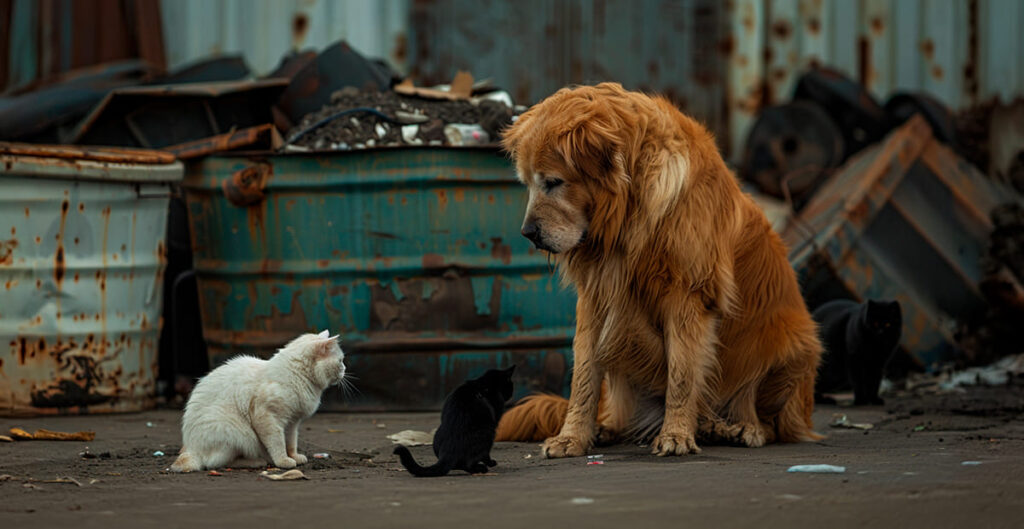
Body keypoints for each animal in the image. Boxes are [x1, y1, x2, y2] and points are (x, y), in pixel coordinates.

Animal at [167, 327, 344, 472]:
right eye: (341, 361)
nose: (345, 369)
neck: (298, 374)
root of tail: (191, 449)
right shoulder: (266, 417)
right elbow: (277, 443)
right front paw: (283, 461)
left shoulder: (292, 423)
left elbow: (291, 442)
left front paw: (294, 457)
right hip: (236, 432)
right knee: (215, 463)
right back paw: (256, 462)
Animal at [495, 81, 823, 454]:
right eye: (527, 184)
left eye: (552, 182)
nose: (528, 233)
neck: (628, 213)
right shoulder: (596, 297)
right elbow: (583, 377)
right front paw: (572, 436)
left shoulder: (688, 295)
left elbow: (681, 375)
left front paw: (676, 435)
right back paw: (617, 427)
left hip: (794, 346)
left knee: (772, 421)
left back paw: (738, 427)